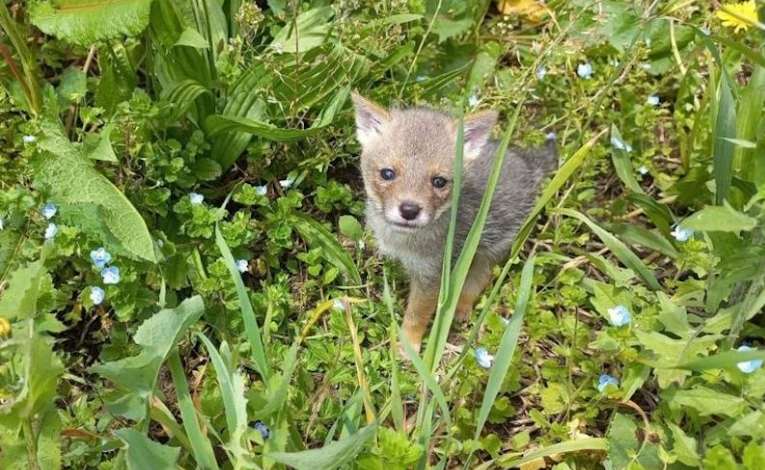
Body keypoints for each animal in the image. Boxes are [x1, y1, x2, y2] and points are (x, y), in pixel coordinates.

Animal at [351, 92, 557, 353]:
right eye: (387, 173)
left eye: (439, 181)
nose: (409, 210)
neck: (404, 241)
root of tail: (526, 162)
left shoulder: (432, 276)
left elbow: (416, 316)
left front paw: (409, 347)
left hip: (489, 250)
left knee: (479, 278)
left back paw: (461, 308)